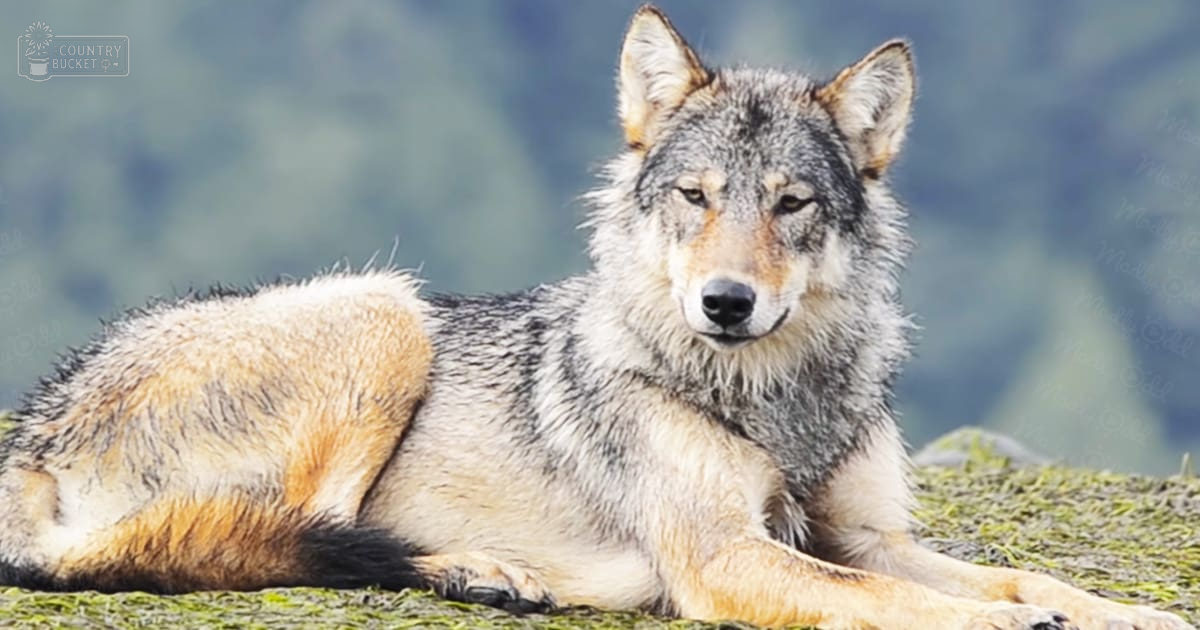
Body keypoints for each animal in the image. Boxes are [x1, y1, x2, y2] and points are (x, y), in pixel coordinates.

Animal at [0, 6, 1191, 629]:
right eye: (697, 197)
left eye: (790, 205)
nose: (725, 302)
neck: (772, 397)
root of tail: (39, 421)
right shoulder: (726, 555)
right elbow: (909, 605)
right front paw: (1014, 624)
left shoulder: (872, 536)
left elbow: (1028, 576)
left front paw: (1128, 615)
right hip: (386, 311)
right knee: (288, 540)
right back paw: (482, 572)